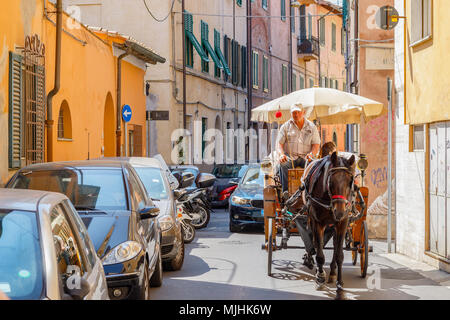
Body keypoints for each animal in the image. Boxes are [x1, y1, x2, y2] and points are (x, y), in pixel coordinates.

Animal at [302, 151, 358, 294]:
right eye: (331, 181)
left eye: (350, 181)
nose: (339, 211)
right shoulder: (317, 222)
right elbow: (319, 252)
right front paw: (320, 277)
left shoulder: (343, 222)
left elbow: (339, 254)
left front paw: (340, 283)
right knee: (317, 244)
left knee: (334, 245)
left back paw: (332, 272)